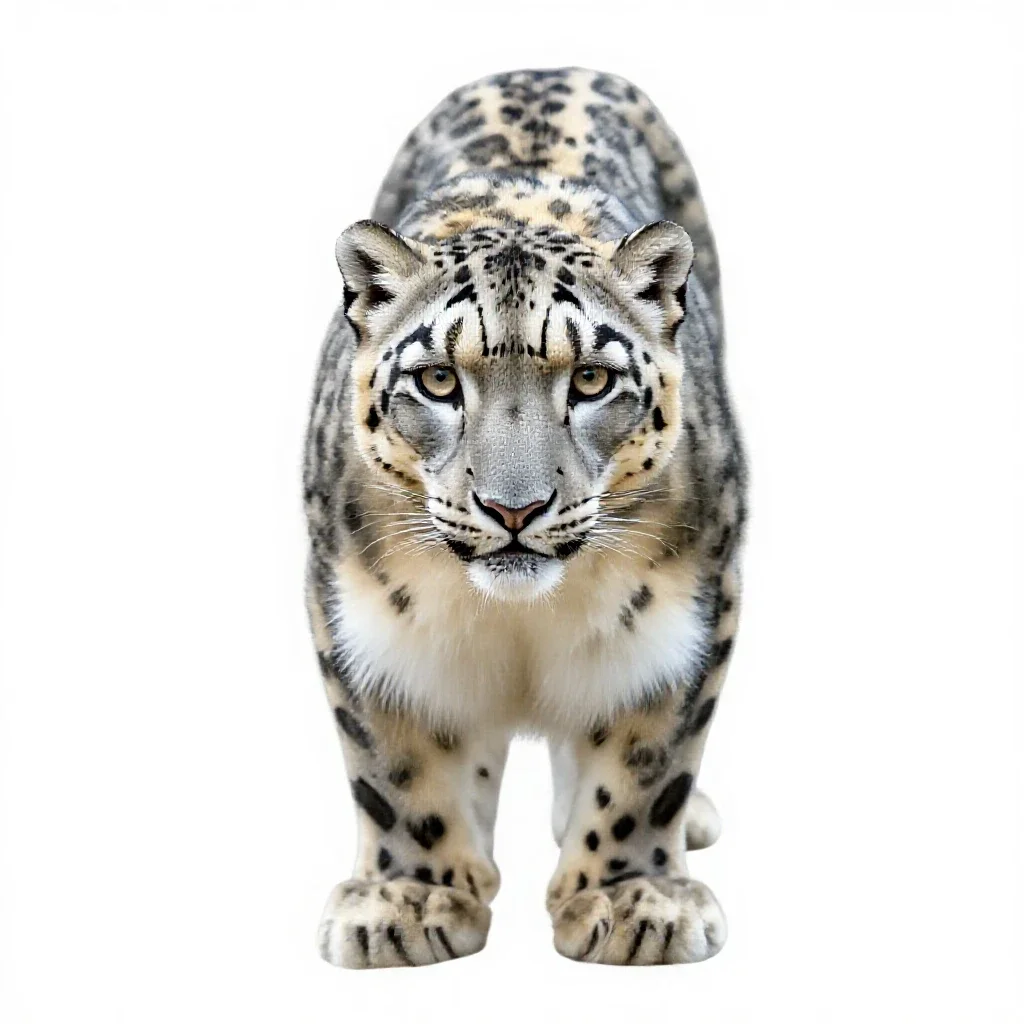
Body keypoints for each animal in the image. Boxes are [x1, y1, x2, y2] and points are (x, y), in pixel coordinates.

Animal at [303, 67, 746, 968]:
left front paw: (631, 901)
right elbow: (394, 767)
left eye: (592, 379)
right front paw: (410, 902)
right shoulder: (356, 620)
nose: (515, 507)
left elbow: (648, 764)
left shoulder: (690, 611)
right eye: (438, 380)